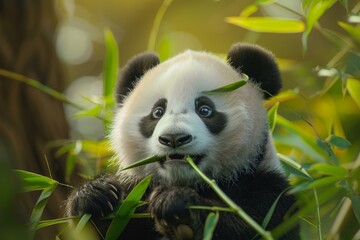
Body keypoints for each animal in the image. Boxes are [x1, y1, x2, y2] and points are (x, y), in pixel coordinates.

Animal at [66, 43, 300, 240]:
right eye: (157, 112)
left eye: (205, 109)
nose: (173, 138)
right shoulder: (137, 196)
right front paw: (94, 196)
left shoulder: (269, 191)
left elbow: (247, 223)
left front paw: (176, 205)